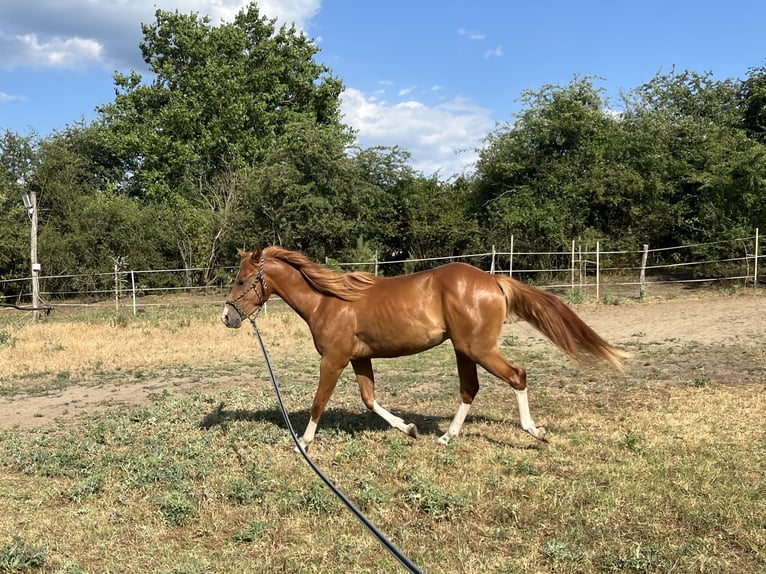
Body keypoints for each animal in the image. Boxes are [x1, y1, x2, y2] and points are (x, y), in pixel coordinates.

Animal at [221, 246, 627, 450]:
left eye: (241, 280)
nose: (227, 316)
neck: (328, 301)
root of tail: (493, 281)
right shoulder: (360, 358)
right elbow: (369, 400)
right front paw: (410, 429)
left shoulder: (334, 359)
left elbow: (319, 401)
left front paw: (303, 443)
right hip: (464, 350)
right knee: (470, 388)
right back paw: (446, 436)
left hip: (478, 348)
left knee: (517, 375)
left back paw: (535, 432)